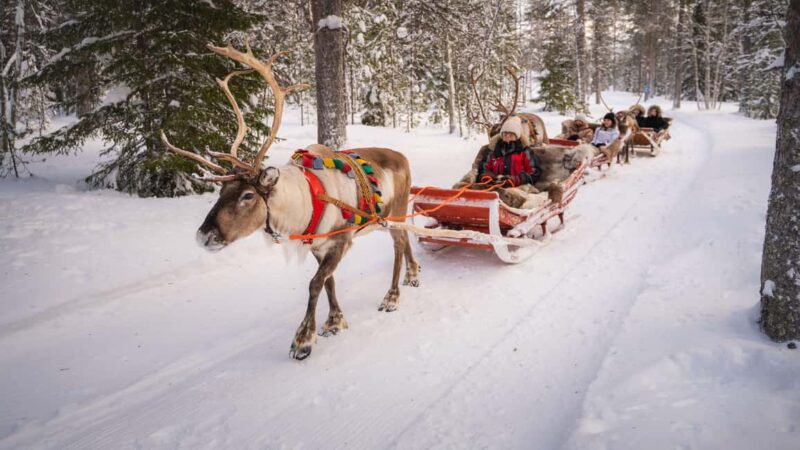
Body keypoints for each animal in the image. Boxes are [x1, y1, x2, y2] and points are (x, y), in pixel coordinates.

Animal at [161, 42, 420, 360]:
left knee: (398, 245)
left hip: (395, 212)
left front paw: (303, 339)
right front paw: (334, 321)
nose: (204, 235)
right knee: (406, 240)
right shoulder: (317, 245)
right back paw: (413, 273)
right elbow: (328, 282)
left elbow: (314, 284)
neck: (303, 202)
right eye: (221, 192)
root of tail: (402, 157)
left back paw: (392, 297)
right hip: (391, 217)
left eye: (248, 195)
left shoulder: (341, 240)